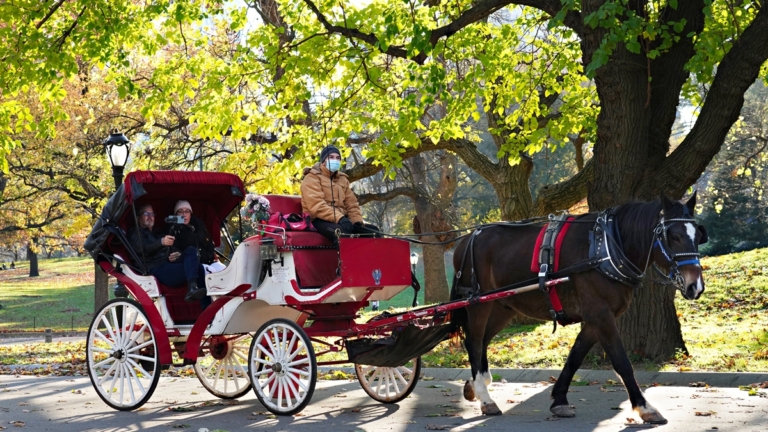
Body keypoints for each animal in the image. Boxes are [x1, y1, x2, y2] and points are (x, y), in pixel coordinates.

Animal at [450, 193, 708, 424]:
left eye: (698, 236)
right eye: (674, 236)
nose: (695, 286)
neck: (606, 248)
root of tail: (466, 239)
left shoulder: (596, 318)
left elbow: (575, 357)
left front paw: (559, 400)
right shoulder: (600, 314)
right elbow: (622, 362)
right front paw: (645, 408)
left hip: (502, 307)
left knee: (482, 341)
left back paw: (477, 385)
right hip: (478, 304)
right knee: (475, 342)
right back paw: (486, 399)